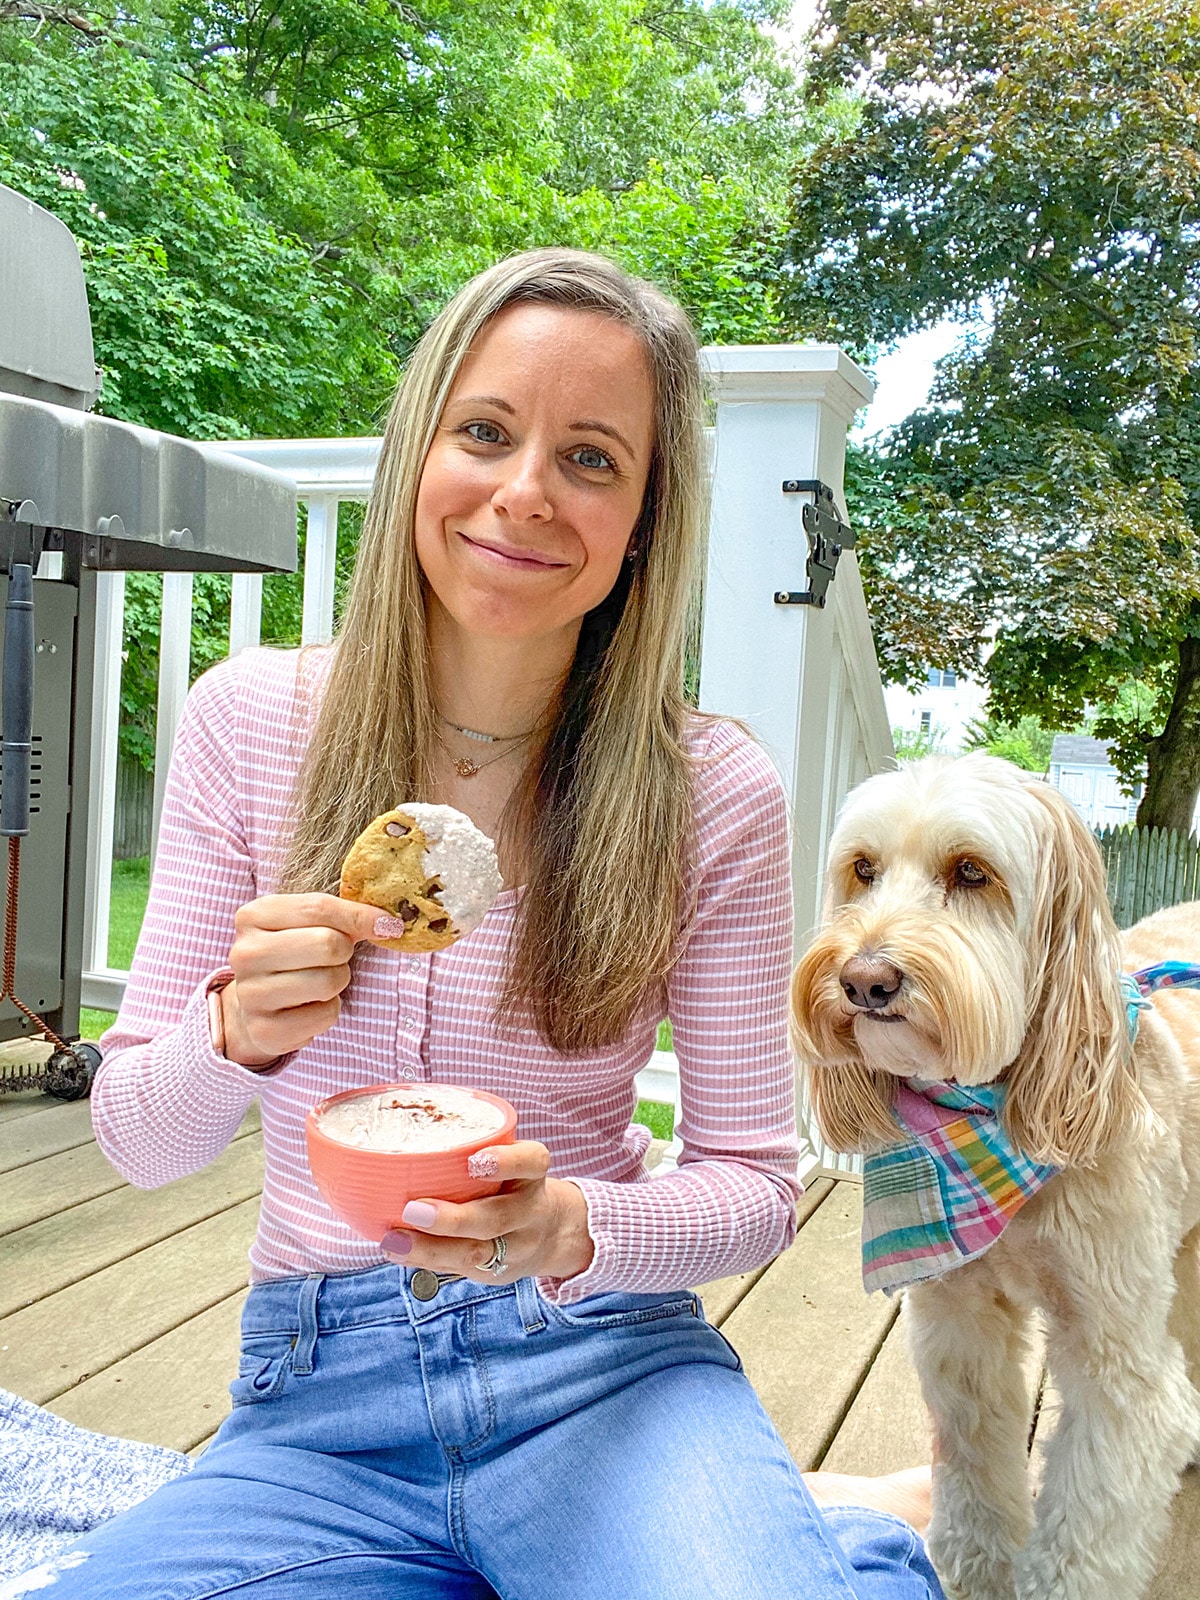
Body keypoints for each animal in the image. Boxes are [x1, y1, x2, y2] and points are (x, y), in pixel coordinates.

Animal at [793, 752, 1196, 1600]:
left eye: (972, 871)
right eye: (863, 870)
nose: (864, 979)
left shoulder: (1114, 1360)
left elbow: (1086, 1530)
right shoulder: (961, 1320)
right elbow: (975, 1465)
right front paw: (976, 1570)